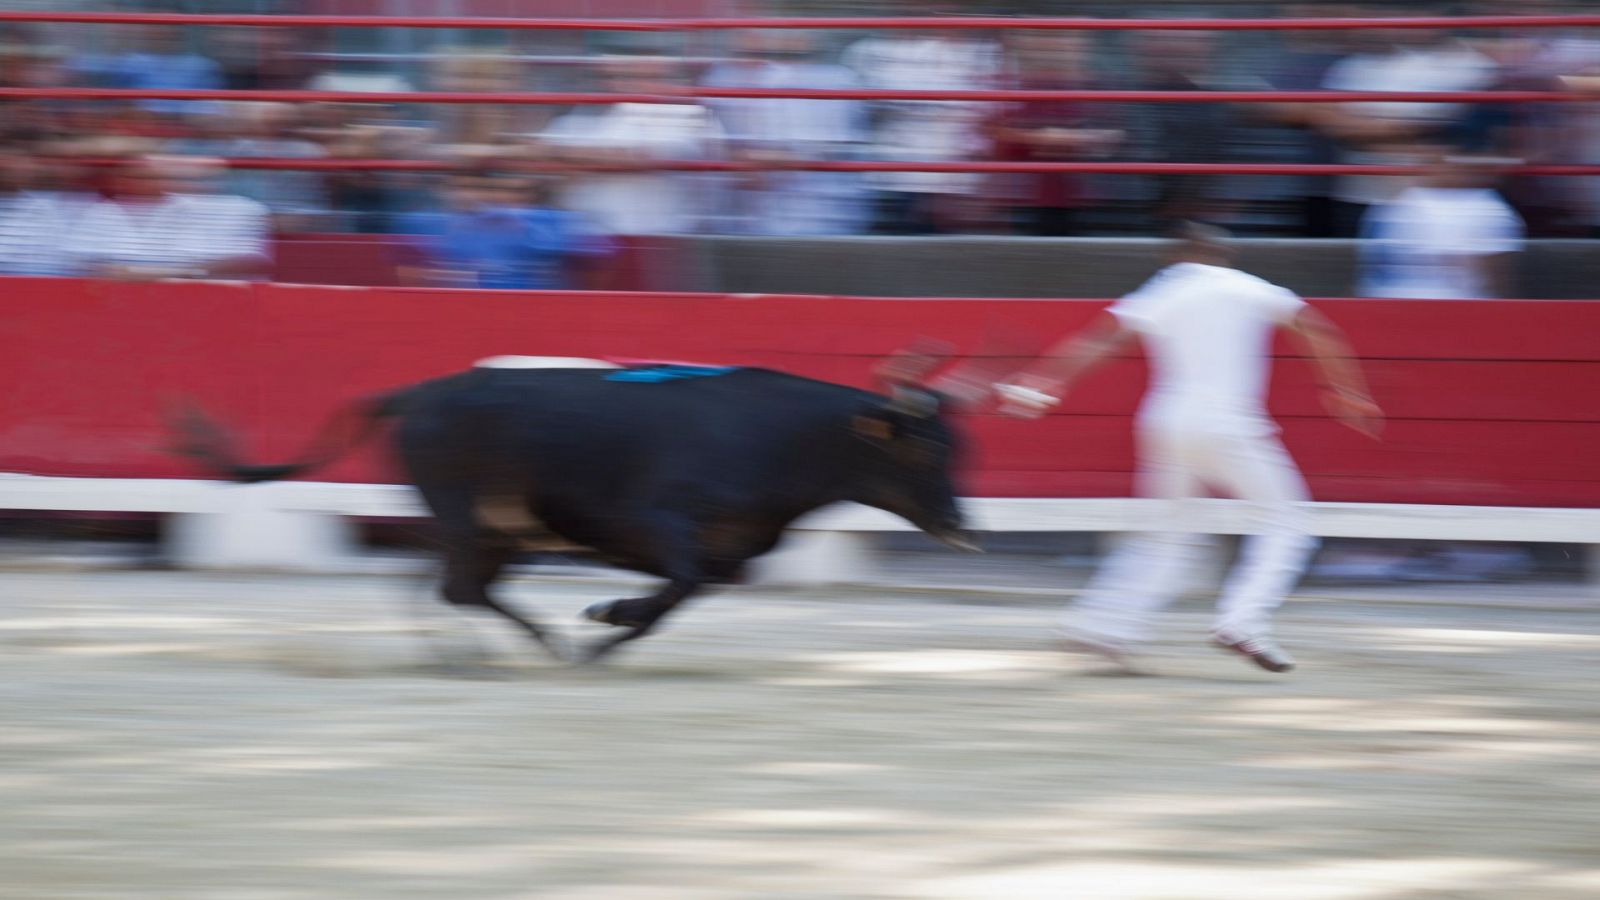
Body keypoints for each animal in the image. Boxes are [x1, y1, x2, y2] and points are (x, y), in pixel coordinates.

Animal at [175, 361, 972, 659]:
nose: (965, 527)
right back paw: (535, 646)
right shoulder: (661, 522)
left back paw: (474, 651)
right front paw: (603, 621)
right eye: (922, 454)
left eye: (956, 448)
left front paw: (611, 623)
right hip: (469, 519)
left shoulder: (727, 549)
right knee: (459, 587)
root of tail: (421, 392)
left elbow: (686, 592)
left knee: (443, 583)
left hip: (478, 528)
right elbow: (679, 584)